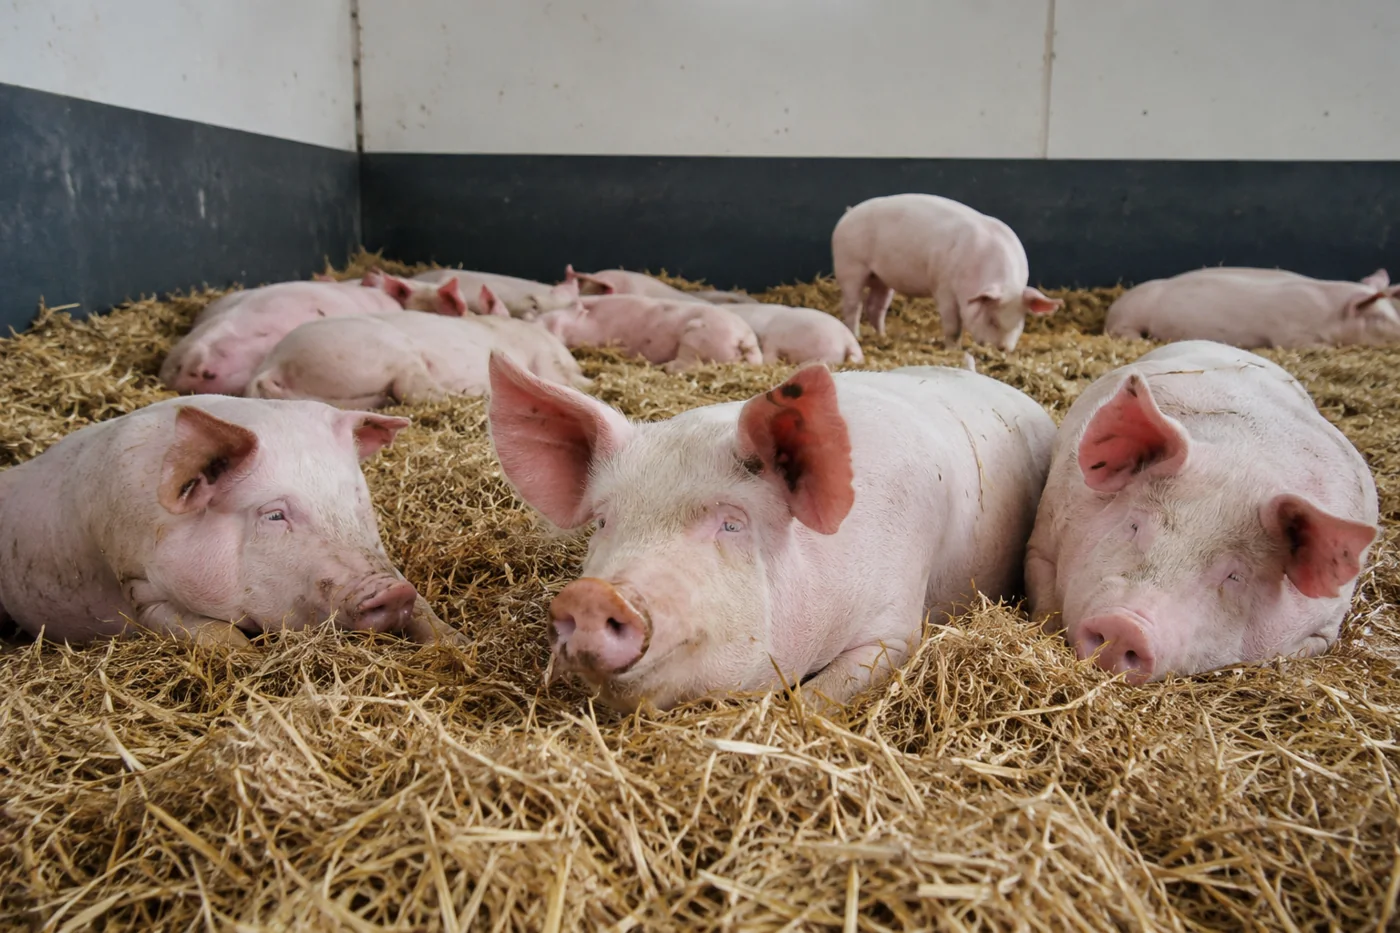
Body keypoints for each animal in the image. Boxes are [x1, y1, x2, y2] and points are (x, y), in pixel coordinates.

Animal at [0, 396, 462, 645]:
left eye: (357, 498)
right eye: (274, 514)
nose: (391, 592)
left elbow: (427, 612)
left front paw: (457, 643)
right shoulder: (134, 580)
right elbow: (215, 635)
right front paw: (247, 656)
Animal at [247, 286, 589, 408]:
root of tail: (272, 366)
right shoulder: (543, 356)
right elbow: (558, 376)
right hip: (389, 349)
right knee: (416, 391)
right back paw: (477, 394)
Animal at [536, 294, 764, 373]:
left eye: (551, 320)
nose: (535, 321)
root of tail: (744, 340)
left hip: (696, 339)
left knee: (686, 365)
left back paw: (665, 367)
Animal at [831, 193, 1062, 351]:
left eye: (1020, 322)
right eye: (992, 320)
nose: (1002, 349)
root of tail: (848, 214)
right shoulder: (944, 287)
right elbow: (953, 325)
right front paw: (953, 349)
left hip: (881, 277)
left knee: (876, 306)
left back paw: (883, 337)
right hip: (850, 266)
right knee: (852, 305)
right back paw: (856, 336)